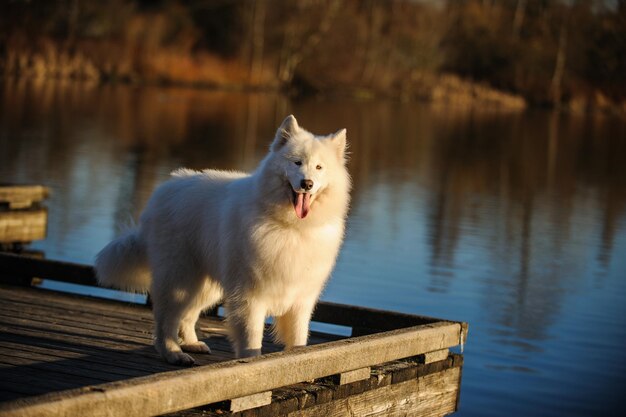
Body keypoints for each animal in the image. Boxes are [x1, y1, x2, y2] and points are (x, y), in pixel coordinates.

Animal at [94, 114, 348, 364]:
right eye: (297, 163)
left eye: (319, 167)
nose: (307, 184)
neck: (292, 227)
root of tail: (164, 190)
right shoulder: (250, 296)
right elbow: (251, 338)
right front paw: (251, 362)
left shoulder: (301, 300)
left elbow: (298, 339)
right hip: (180, 278)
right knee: (166, 319)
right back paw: (173, 353)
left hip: (203, 286)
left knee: (187, 315)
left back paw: (191, 343)